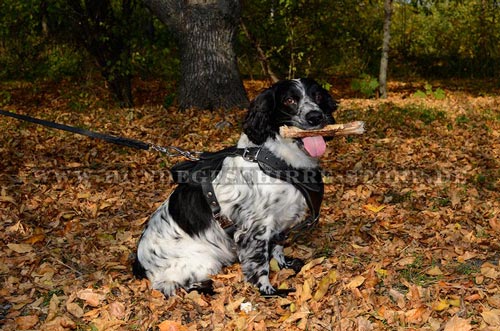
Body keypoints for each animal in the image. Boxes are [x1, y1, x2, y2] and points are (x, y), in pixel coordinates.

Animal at [133, 78, 336, 298]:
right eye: (289, 100)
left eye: (318, 96)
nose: (315, 116)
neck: (274, 159)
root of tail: (140, 263)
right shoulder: (256, 228)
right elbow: (259, 263)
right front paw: (269, 290)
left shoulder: (279, 223)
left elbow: (277, 248)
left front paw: (285, 266)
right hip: (204, 260)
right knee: (168, 284)